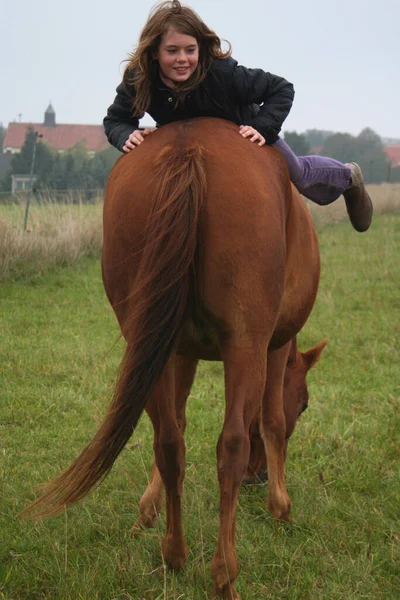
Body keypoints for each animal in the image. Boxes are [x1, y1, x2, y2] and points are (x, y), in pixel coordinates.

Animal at [24, 118, 322, 600]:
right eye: (306, 404)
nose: (258, 479)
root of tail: (190, 146)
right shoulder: (276, 346)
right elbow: (273, 421)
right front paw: (281, 506)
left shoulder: (179, 351)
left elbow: (176, 423)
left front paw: (149, 509)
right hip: (246, 346)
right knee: (231, 444)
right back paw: (224, 575)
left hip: (148, 338)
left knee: (168, 440)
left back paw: (175, 554)